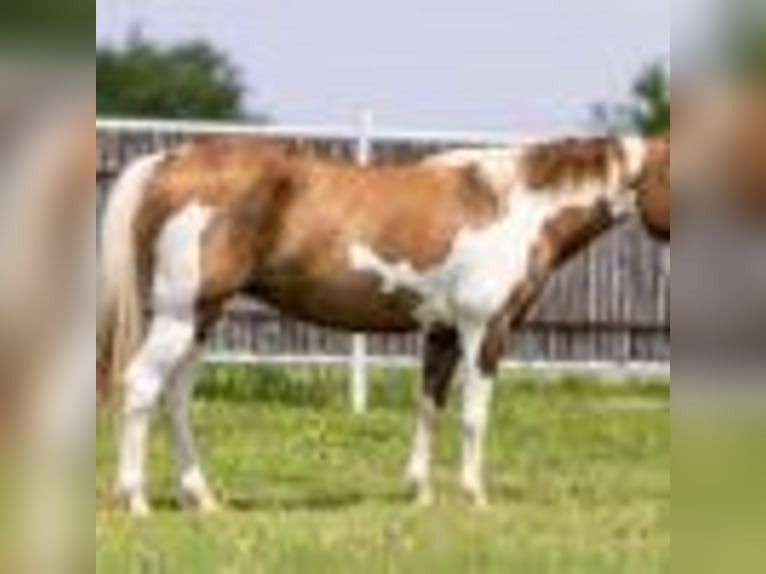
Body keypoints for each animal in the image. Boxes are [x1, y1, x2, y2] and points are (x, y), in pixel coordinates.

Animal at [98, 132, 669, 516]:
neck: (515, 206)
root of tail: (167, 160)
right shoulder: (485, 330)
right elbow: (473, 416)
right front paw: (474, 496)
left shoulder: (441, 332)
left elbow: (429, 408)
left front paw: (420, 492)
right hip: (179, 315)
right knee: (142, 386)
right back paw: (136, 501)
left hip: (202, 316)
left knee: (175, 397)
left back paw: (202, 499)